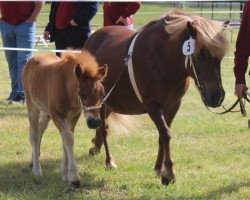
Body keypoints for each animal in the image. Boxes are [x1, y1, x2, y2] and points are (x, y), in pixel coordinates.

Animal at [22, 50, 107, 187]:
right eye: (82, 94)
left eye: (102, 93)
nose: (95, 122)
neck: (66, 87)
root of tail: (33, 58)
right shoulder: (57, 115)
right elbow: (68, 138)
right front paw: (74, 177)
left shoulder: (74, 116)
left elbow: (66, 139)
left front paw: (65, 175)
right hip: (32, 104)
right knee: (34, 133)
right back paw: (37, 170)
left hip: (46, 112)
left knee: (41, 128)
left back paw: (34, 159)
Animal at [85, 10, 229, 186]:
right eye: (200, 56)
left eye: (220, 57)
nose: (217, 96)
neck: (163, 59)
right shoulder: (153, 105)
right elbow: (166, 134)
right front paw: (169, 173)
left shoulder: (173, 105)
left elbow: (162, 135)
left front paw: (159, 169)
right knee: (104, 128)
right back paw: (109, 161)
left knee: (101, 125)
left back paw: (96, 146)